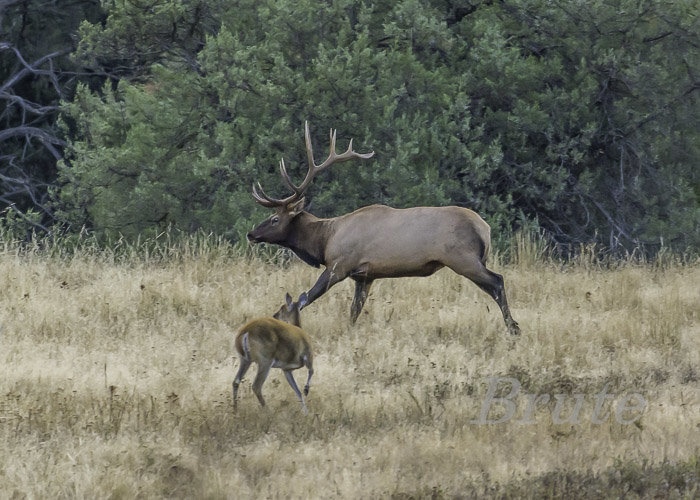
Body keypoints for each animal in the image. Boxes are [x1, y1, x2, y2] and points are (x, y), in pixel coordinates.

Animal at [247, 122, 520, 336]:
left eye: (274, 218)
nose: (251, 234)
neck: (324, 241)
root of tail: (485, 228)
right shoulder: (365, 276)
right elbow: (354, 310)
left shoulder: (339, 264)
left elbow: (306, 297)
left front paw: (278, 320)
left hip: (463, 258)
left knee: (497, 281)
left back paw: (513, 327)